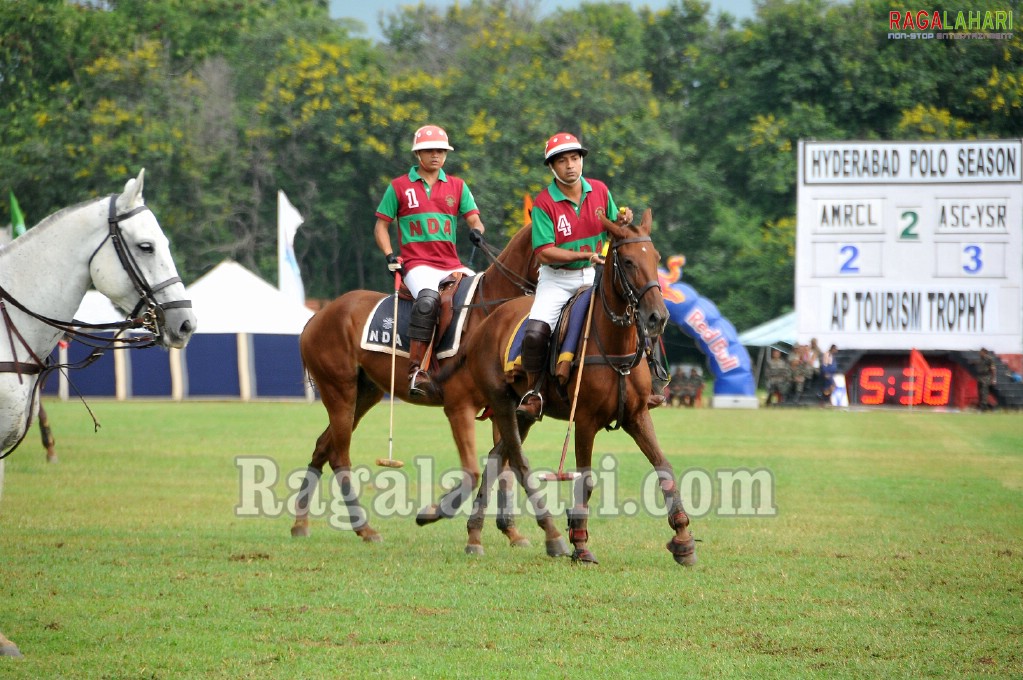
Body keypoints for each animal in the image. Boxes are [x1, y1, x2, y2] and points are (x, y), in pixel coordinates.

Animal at [292, 224, 572, 556]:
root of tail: (315, 318)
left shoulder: (501, 405)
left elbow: (505, 462)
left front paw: (512, 531)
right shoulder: (463, 402)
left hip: (365, 393)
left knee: (323, 446)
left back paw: (301, 524)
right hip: (339, 389)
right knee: (339, 455)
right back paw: (365, 528)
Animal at [454, 209, 699, 564]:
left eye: (655, 258)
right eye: (627, 261)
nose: (658, 317)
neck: (614, 346)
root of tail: (491, 318)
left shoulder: (638, 415)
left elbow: (664, 467)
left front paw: (683, 539)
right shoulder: (584, 420)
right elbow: (586, 479)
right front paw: (580, 544)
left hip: (521, 413)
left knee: (497, 456)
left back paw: (475, 534)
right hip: (502, 402)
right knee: (509, 456)